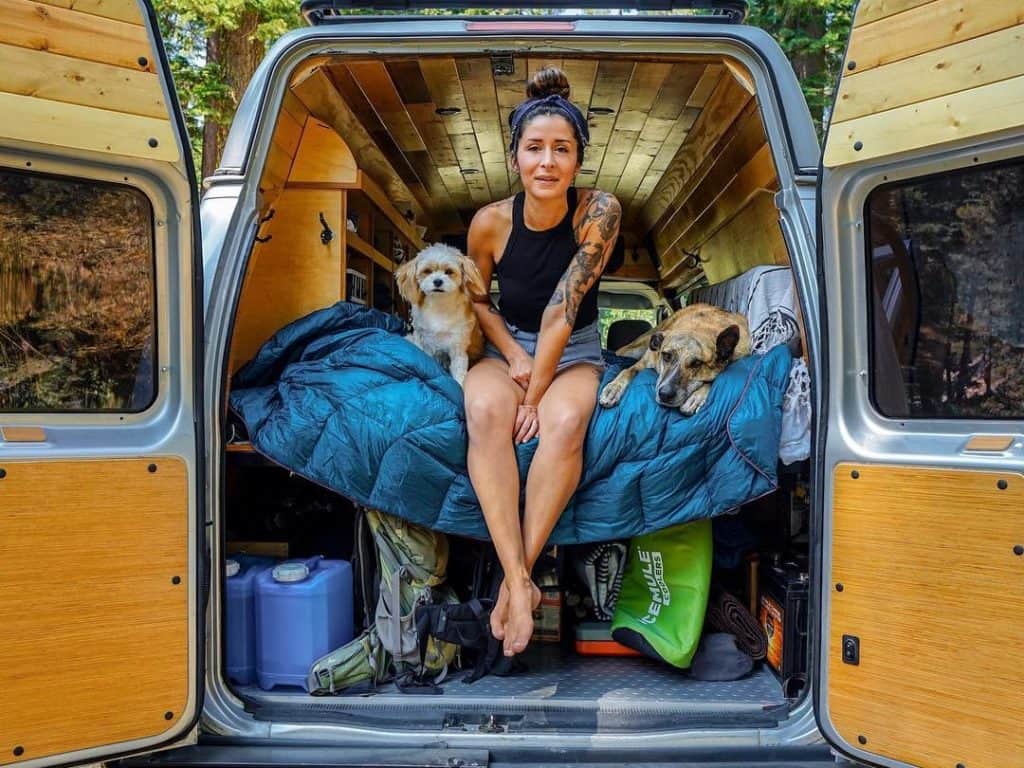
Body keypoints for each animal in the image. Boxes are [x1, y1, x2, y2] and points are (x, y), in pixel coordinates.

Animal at [393, 241, 485, 385]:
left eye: (449, 272)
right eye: (427, 271)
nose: (437, 281)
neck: (439, 306)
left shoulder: (458, 346)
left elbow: (459, 372)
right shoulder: (424, 341)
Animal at [598, 303, 753, 417]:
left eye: (697, 363)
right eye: (666, 356)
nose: (664, 395)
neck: (700, 328)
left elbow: (712, 380)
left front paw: (696, 398)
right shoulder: (644, 362)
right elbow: (627, 370)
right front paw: (613, 388)